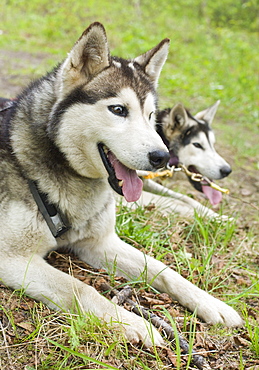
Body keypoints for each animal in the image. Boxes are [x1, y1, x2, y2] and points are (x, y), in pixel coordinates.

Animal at [0, 23, 244, 346]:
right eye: (118, 110)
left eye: (151, 116)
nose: (162, 156)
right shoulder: (12, 258)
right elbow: (80, 288)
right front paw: (134, 323)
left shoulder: (101, 243)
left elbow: (164, 270)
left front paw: (212, 304)